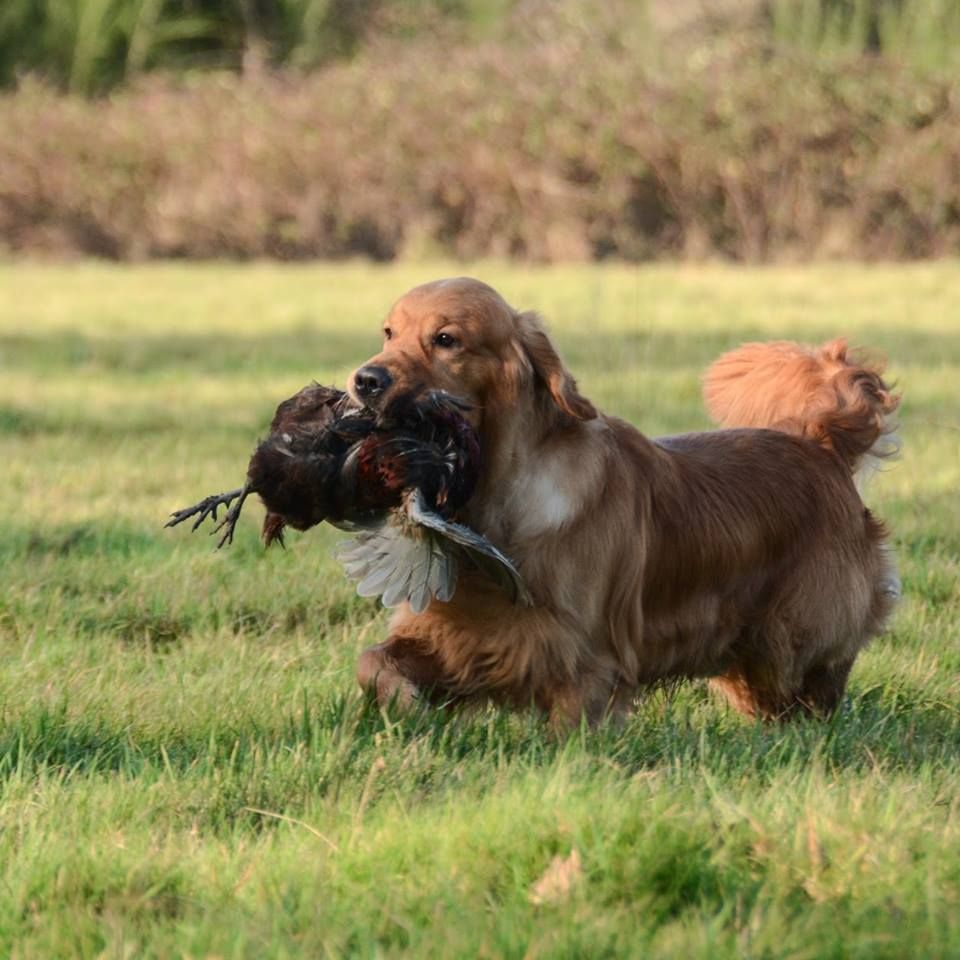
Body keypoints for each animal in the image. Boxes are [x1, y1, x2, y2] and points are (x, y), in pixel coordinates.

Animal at [346, 278, 900, 728]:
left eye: (446, 339)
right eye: (388, 333)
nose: (365, 380)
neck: (496, 498)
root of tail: (819, 443)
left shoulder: (581, 652)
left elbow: (572, 722)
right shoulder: (455, 630)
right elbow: (372, 663)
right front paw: (406, 706)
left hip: (793, 634)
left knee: (813, 686)